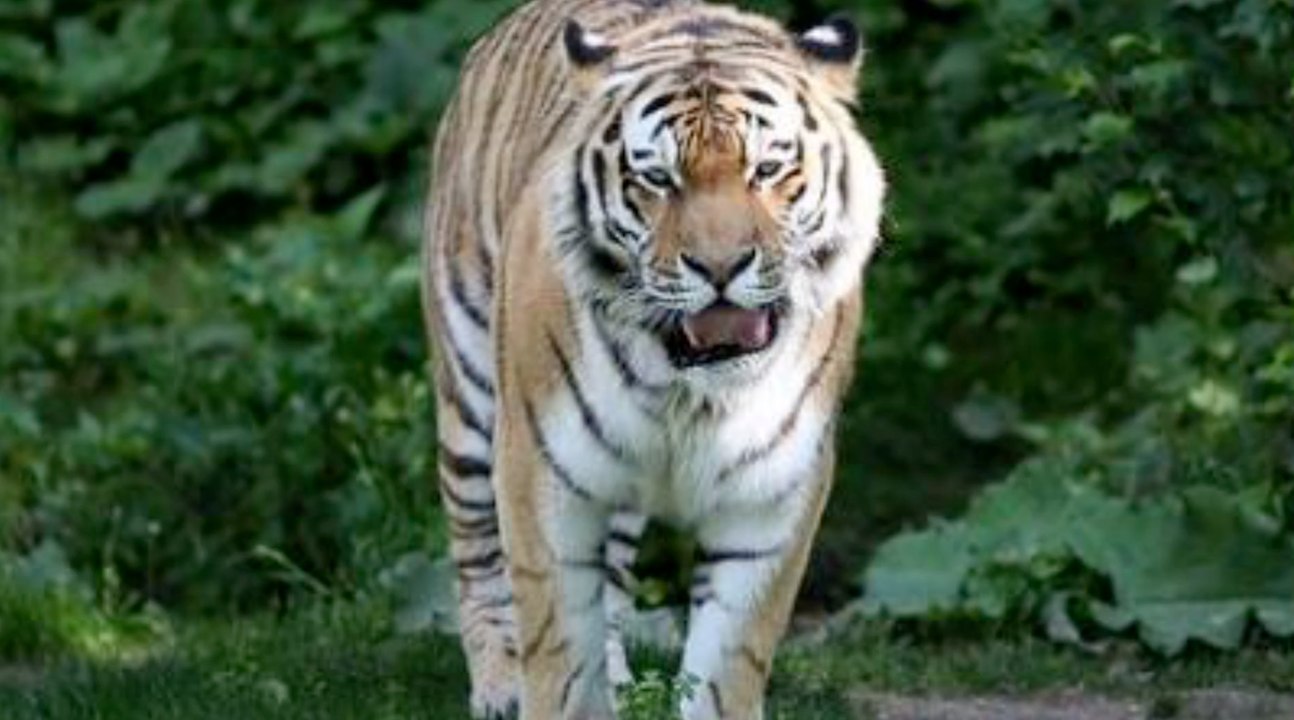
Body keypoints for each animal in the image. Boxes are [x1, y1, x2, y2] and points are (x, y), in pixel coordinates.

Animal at [420, 0, 885, 717]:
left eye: (767, 171)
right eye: (659, 179)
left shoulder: (771, 495)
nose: (721, 268)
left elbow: (726, 661)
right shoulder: (540, 472)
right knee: (475, 553)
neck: (692, 390)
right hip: (470, 394)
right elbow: (558, 651)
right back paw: (499, 682)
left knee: (608, 583)